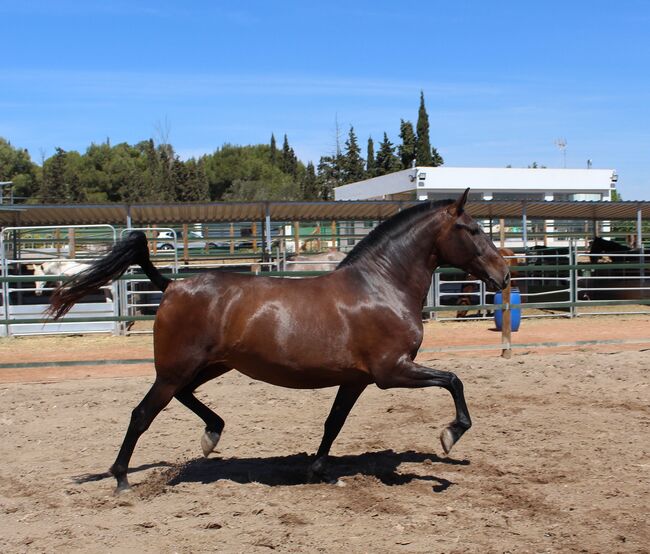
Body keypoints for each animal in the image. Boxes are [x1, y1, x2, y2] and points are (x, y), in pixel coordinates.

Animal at [48, 188, 508, 490]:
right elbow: (453, 381)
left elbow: (334, 422)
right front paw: (450, 435)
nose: (504, 275)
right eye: (471, 229)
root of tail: (171, 285)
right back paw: (121, 479)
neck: (380, 286)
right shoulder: (391, 371)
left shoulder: (356, 379)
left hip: (209, 366)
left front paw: (317, 471)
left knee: (182, 398)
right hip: (176, 369)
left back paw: (212, 435)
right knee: (142, 414)